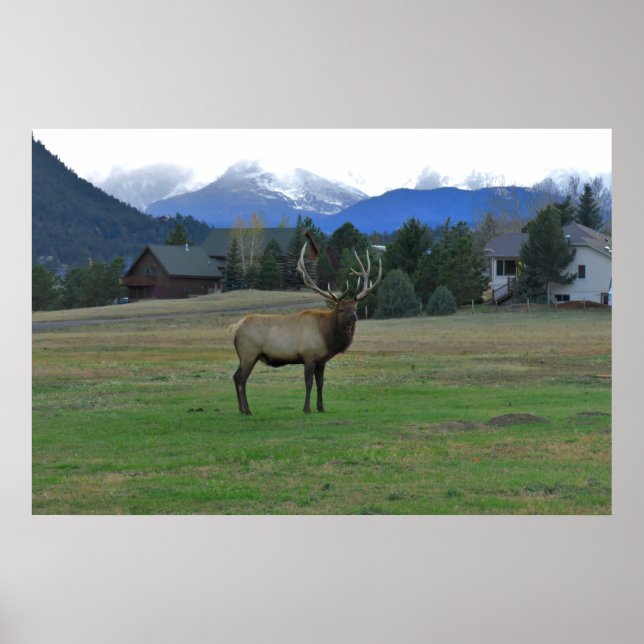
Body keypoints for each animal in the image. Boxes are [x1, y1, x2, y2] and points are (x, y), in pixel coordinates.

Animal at [229, 242, 382, 414]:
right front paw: (307, 408)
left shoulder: (322, 360)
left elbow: (321, 382)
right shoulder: (308, 356)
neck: (327, 335)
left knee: (235, 376)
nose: (354, 317)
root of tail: (235, 327)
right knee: (241, 378)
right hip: (249, 353)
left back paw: (241, 409)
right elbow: (308, 383)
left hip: (245, 356)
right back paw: (247, 409)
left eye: (355, 307)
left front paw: (321, 407)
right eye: (341, 309)